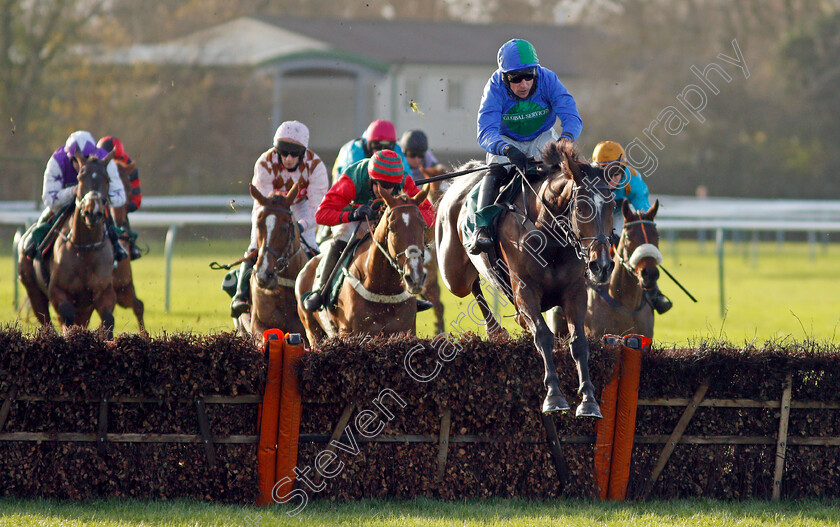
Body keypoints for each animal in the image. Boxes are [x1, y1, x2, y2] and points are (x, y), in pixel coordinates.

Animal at [18, 150, 119, 338]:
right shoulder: (57, 290)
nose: (92, 212)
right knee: (47, 321)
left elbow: (108, 319)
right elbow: (67, 315)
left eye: (107, 178)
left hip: (85, 307)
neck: (84, 248)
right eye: (80, 177)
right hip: (34, 290)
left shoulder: (103, 291)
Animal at [294, 188, 426, 344]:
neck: (383, 290)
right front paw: (360, 212)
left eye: (424, 226)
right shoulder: (350, 334)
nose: (415, 277)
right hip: (313, 332)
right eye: (392, 227)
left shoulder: (406, 331)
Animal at [436, 141, 612, 420]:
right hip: (453, 274)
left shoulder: (574, 292)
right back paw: (495, 330)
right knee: (472, 283)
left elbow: (579, 342)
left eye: (612, 206)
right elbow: (543, 336)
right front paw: (554, 397)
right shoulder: (525, 290)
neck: (549, 235)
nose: (602, 266)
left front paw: (588, 400)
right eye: (581, 207)